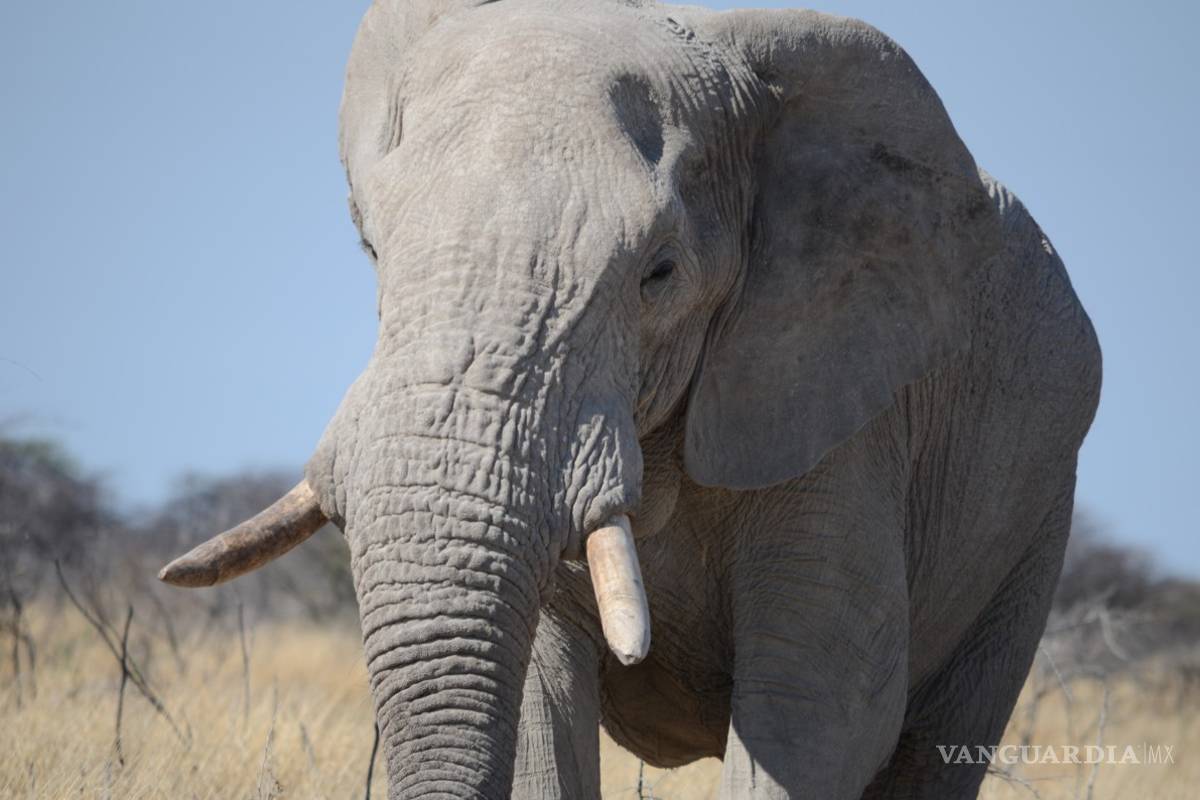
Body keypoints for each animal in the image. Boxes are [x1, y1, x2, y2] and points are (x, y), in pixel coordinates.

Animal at [160, 0, 1102, 797]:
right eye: (370, 247)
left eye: (660, 273)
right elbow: (540, 709)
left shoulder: (844, 417)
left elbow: (821, 714)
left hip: (1032, 521)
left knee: (935, 746)